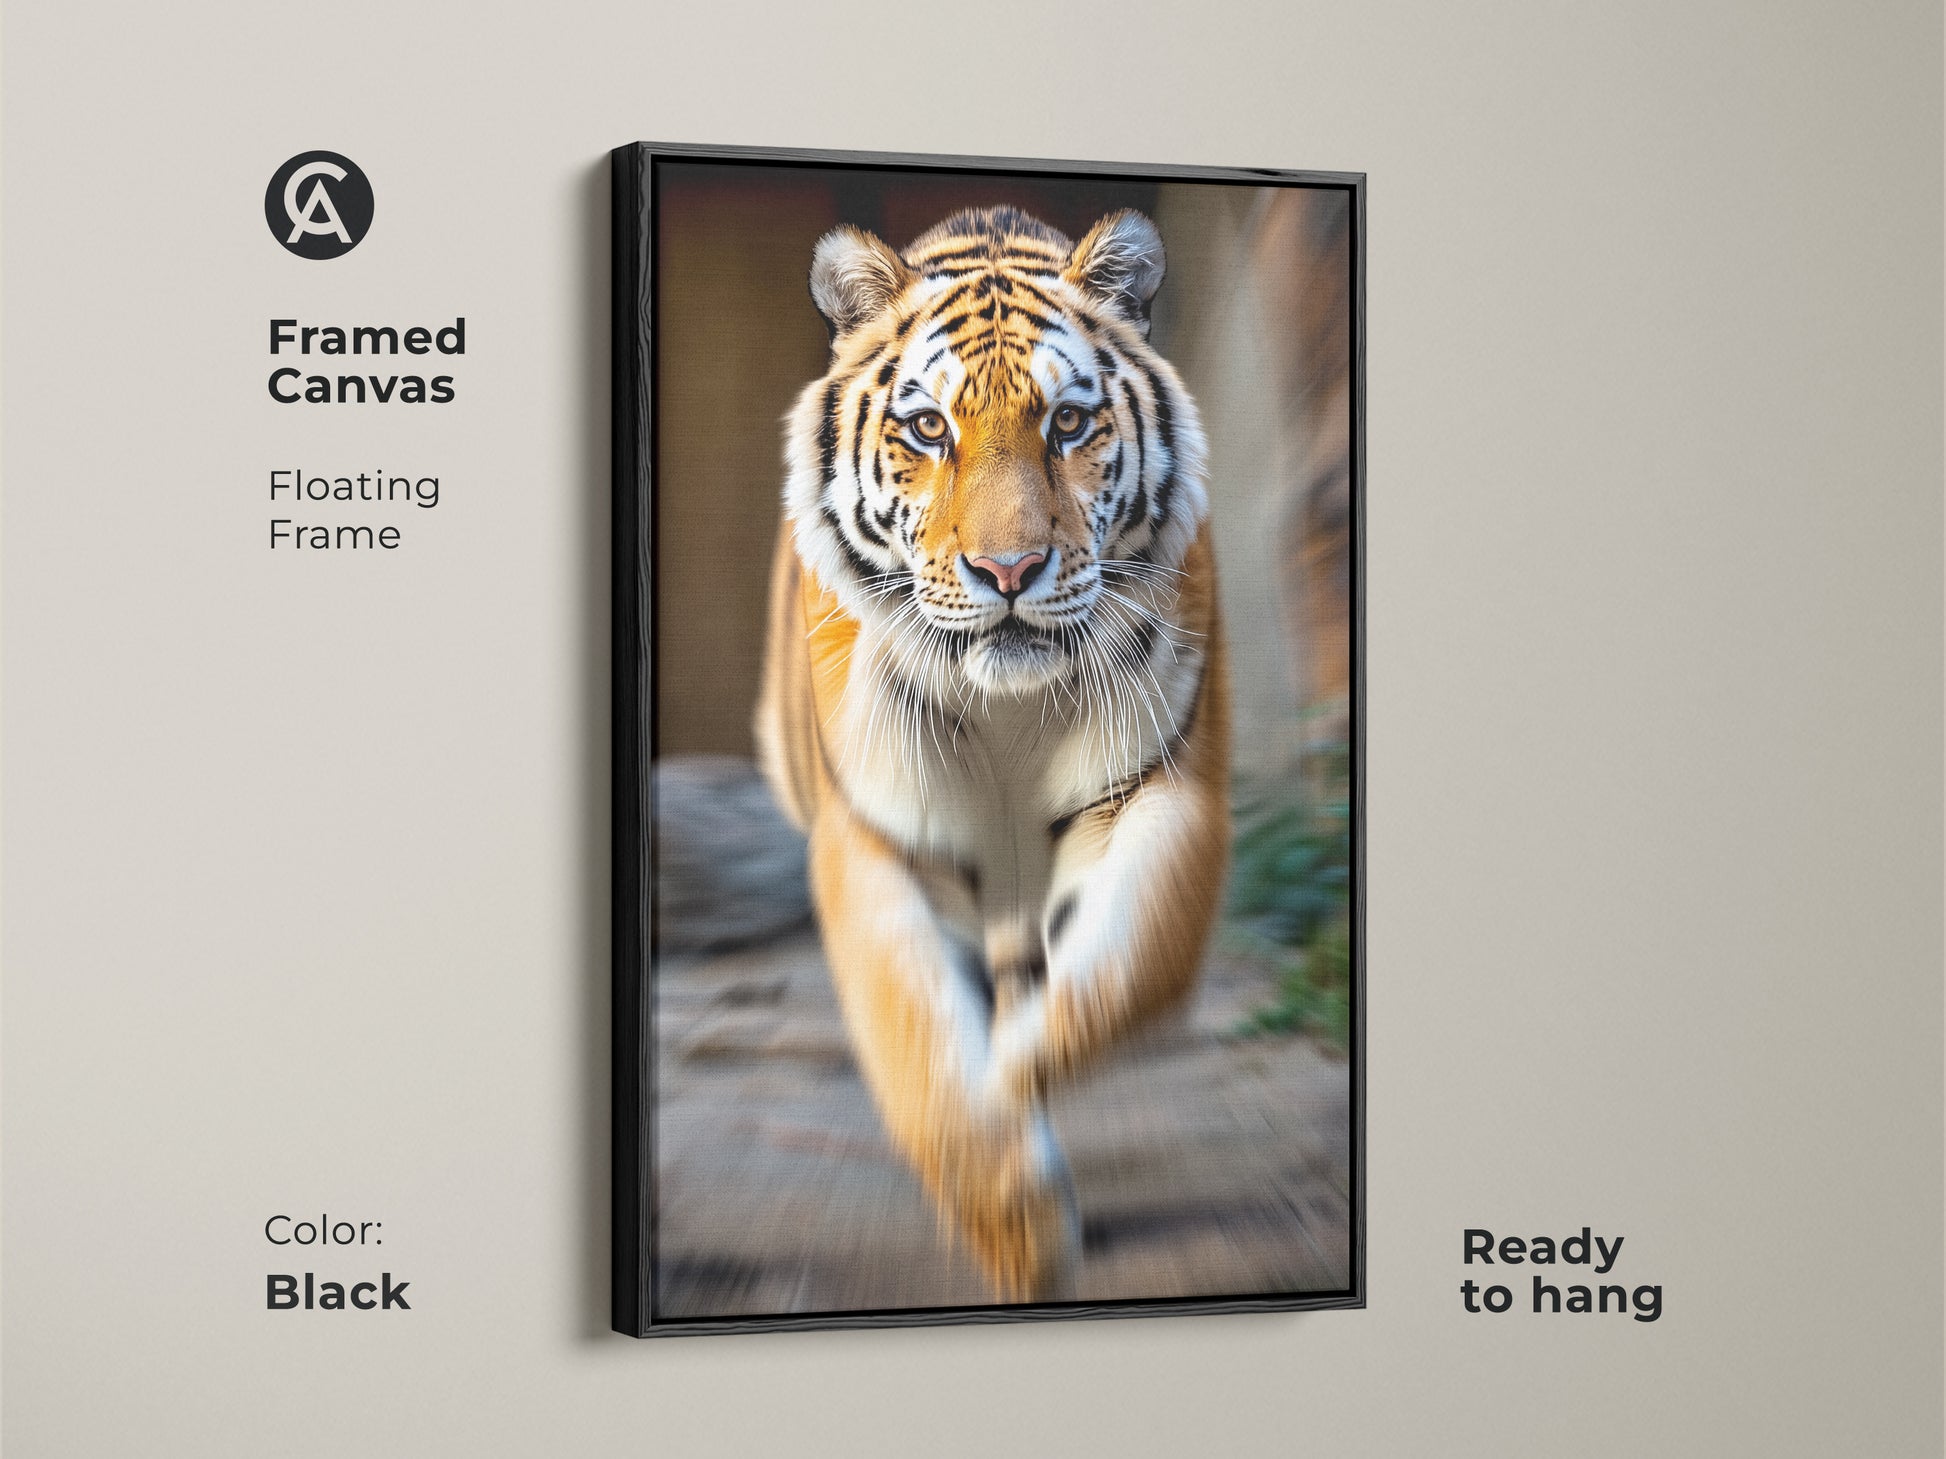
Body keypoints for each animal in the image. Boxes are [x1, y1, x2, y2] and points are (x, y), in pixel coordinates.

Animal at [755, 204, 1230, 1302]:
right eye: (929, 428)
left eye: (1069, 424)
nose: (1008, 570)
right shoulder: (878, 838)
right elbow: (924, 1052)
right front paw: (1019, 1230)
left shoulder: (1164, 789)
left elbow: (1127, 970)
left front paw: (1013, 1074)